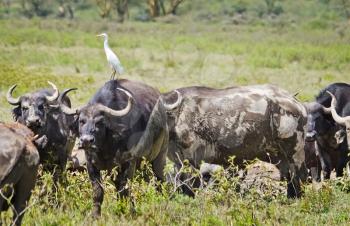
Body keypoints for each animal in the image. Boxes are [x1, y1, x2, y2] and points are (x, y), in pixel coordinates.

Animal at [59, 79, 169, 217]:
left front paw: (126, 210)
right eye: (81, 121)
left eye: (100, 122)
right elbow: (98, 191)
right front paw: (95, 215)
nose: (86, 140)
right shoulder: (91, 165)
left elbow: (124, 189)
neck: (105, 147)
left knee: (159, 180)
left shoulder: (128, 163)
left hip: (159, 156)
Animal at [163, 85, 308, 198]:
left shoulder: (192, 160)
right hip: (279, 156)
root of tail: (297, 104)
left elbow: (191, 184)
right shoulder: (180, 161)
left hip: (295, 153)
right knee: (289, 176)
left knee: (299, 177)